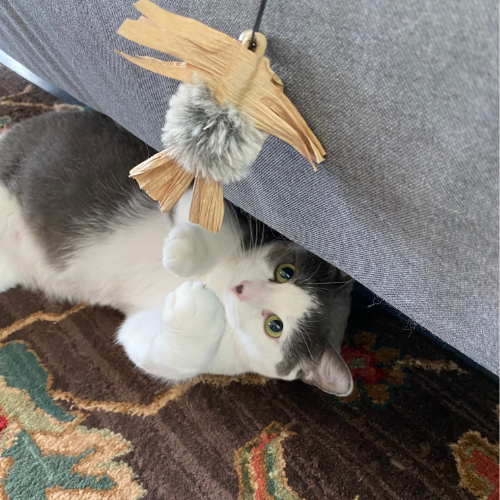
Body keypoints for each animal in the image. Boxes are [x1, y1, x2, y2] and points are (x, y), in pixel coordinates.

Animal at [0, 111, 354, 396]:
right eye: (285, 272)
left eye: (275, 326)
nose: (240, 289)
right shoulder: (228, 204)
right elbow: (212, 218)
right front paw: (185, 252)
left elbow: (165, 355)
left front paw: (195, 309)